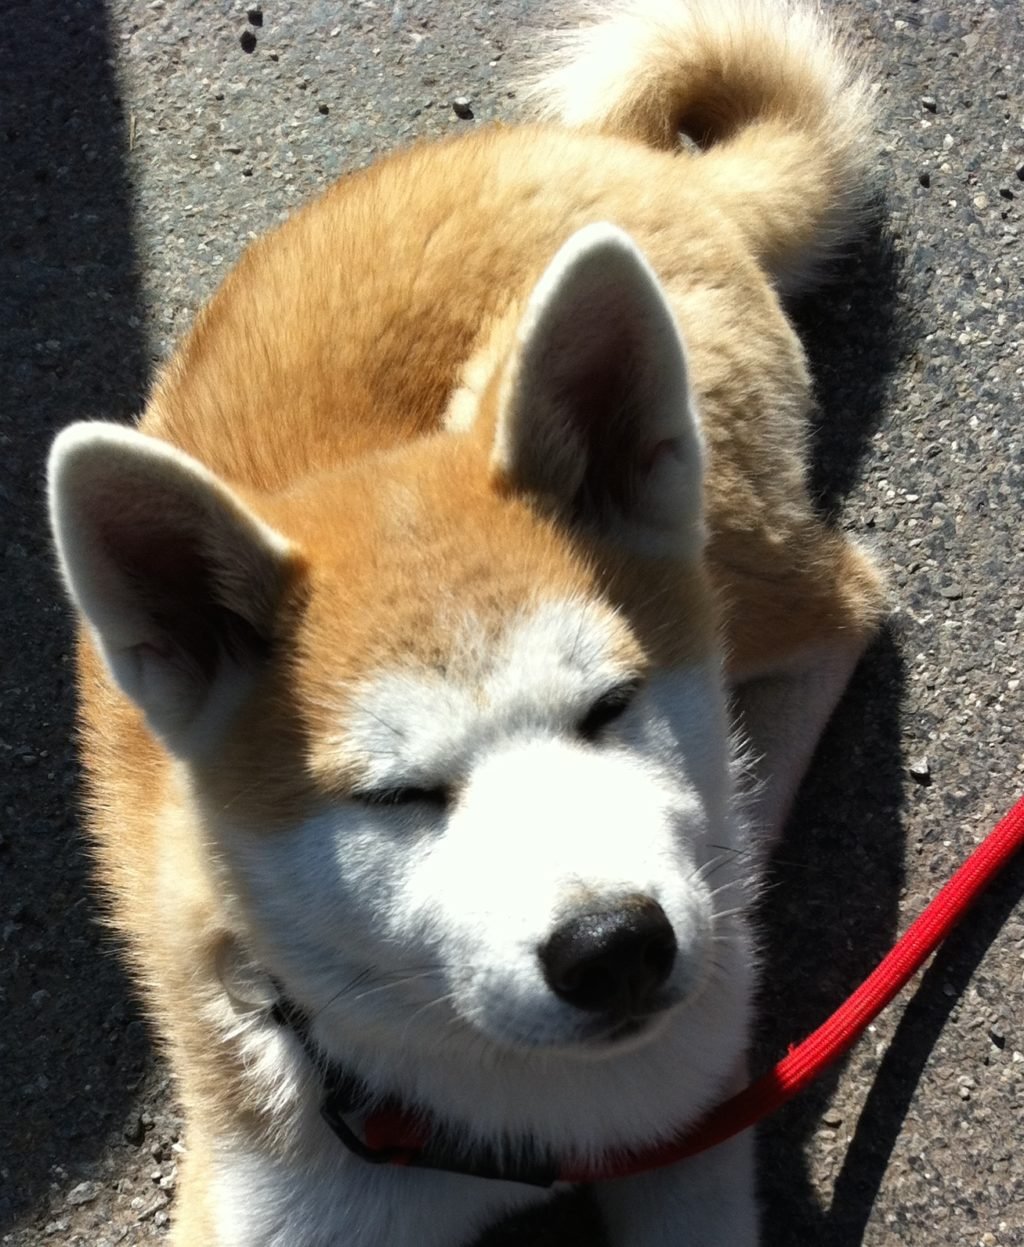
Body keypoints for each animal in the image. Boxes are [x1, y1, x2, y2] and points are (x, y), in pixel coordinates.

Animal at [47, 1, 886, 1242]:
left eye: (610, 706)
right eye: (397, 797)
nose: (614, 946)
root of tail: (621, 157)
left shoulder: (685, 1142)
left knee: (846, 605)